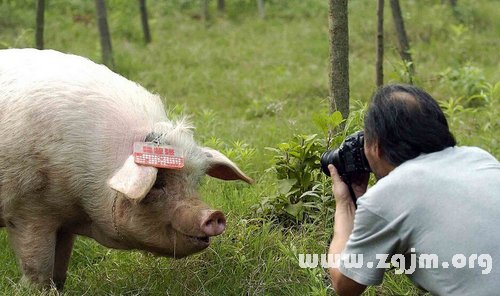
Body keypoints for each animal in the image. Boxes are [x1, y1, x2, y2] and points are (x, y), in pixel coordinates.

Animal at [0, 48, 254, 290]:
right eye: (157, 184)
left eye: (196, 182)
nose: (213, 214)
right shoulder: (29, 211)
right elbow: (38, 268)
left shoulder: (63, 221)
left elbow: (60, 269)